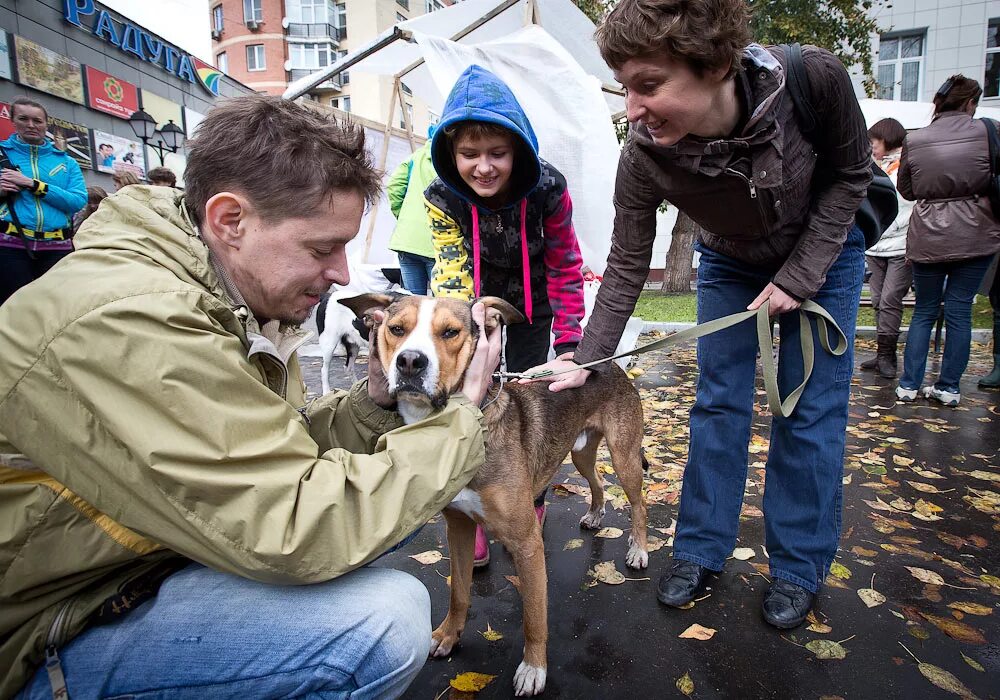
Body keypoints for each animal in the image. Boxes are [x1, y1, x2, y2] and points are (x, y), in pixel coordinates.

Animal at [340, 294, 644, 696]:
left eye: (450, 332)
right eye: (396, 329)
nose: (410, 361)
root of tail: (610, 367)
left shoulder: (528, 543)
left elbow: (534, 616)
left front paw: (534, 668)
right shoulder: (458, 528)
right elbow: (459, 591)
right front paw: (448, 635)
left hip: (624, 458)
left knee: (639, 505)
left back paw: (639, 549)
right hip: (580, 452)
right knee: (596, 480)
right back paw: (595, 514)